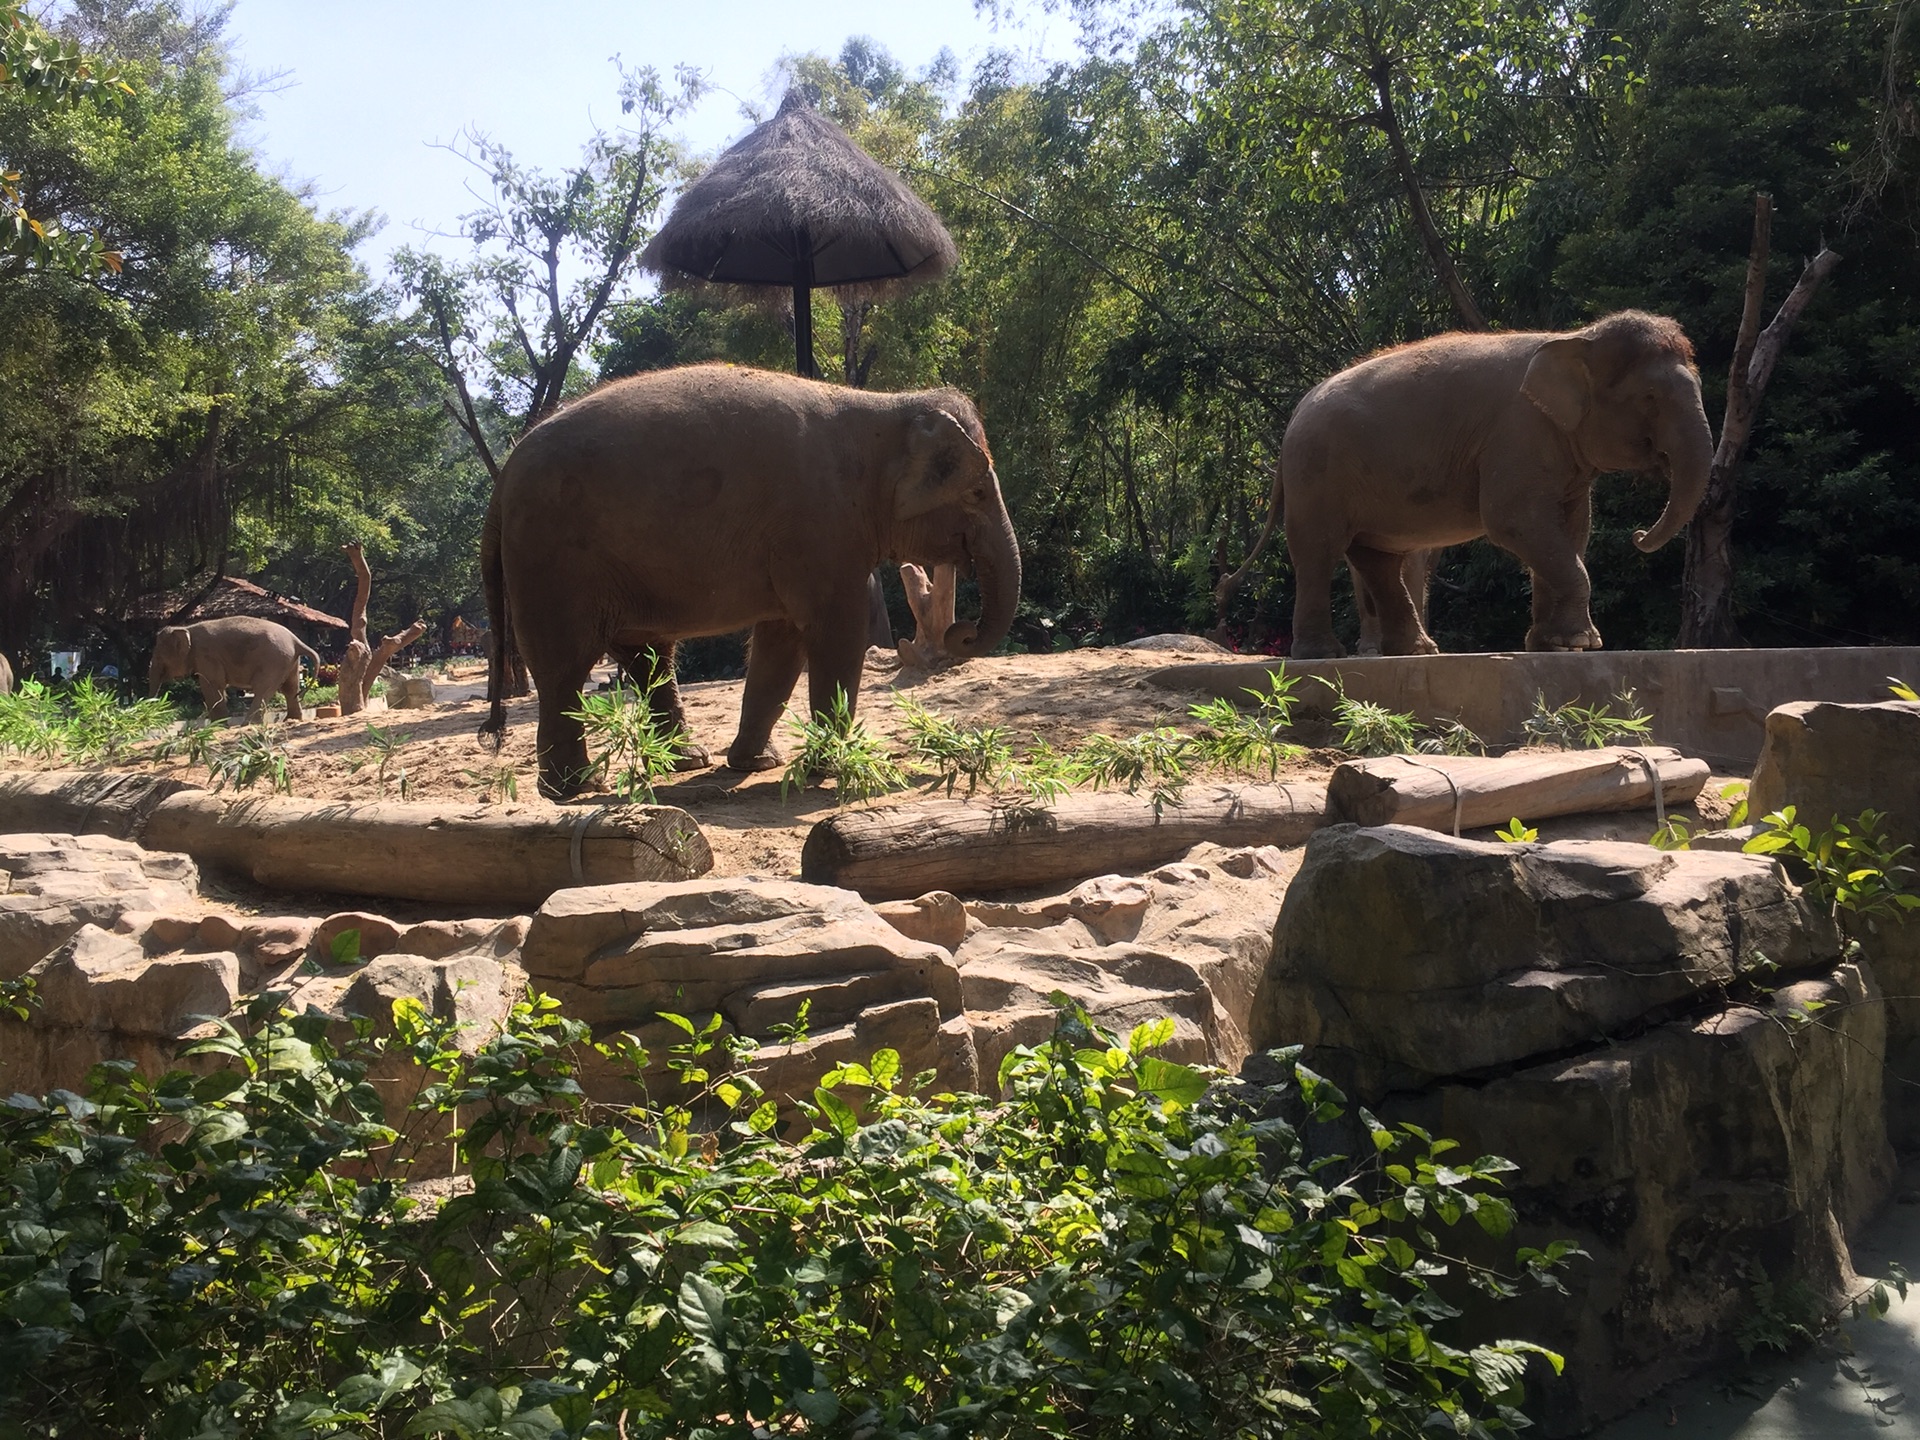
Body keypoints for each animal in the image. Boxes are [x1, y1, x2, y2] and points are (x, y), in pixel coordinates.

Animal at [149, 614, 316, 721]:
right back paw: (291, 720)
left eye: (159, 657)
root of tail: (296, 640)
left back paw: (248, 724)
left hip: (274, 660)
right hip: (289, 661)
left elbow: (212, 686)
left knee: (262, 688)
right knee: (290, 688)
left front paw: (218, 726)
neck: (187, 628)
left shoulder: (207, 656)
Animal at [483, 360, 1021, 802]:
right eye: (976, 493)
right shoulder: (821, 526)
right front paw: (829, 769)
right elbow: (836, 636)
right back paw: (575, 788)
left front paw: (758, 765)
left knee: (648, 657)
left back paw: (684, 761)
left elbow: (781, 645)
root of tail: (504, 473)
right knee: (566, 666)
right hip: (553, 560)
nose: (961, 632)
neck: (886, 408)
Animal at [1213, 312, 1712, 664]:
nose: (1640, 536)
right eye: (1650, 398)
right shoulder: (1518, 433)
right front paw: (1581, 644)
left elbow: (1572, 527)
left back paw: (1416, 651)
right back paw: (1322, 655)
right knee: (1319, 550)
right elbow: (1513, 520)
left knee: (1376, 557)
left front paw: (1556, 646)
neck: (1576, 336)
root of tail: (1294, 418)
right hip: (1316, 473)